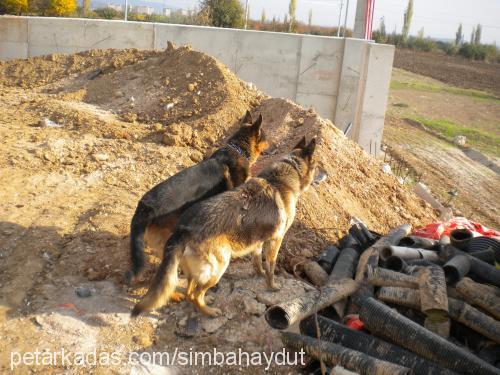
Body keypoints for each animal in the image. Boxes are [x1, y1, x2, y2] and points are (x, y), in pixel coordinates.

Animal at [132, 137, 316, 318]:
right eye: (316, 166)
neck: (284, 175)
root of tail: (183, 229)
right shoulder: (275, 241)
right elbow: (271, 267)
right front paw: (272, 286)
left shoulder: (257, 241)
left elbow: (257, 261)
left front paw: (260, 274)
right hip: (219, 265)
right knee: (195, 294)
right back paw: (210, 312)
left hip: (196, 268)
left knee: (190, 292)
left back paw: (204, 304)